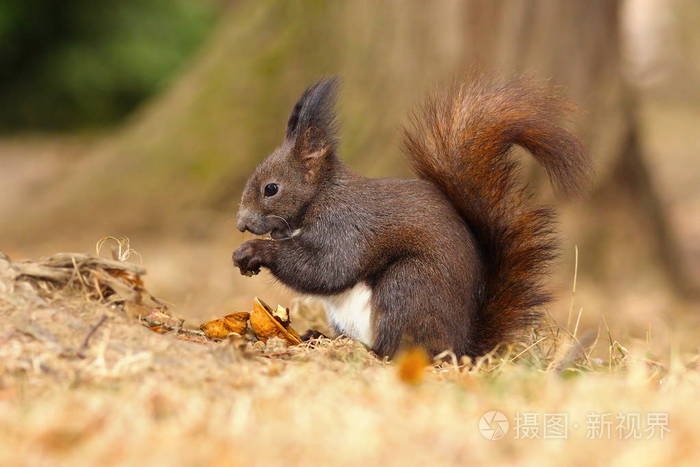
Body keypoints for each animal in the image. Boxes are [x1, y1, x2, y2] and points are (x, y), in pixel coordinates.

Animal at [234, 77, 592, 360]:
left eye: (271, 188)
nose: (241, 223)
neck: (320, 197)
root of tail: (461, 346)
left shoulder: (346, 225)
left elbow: (328, 268)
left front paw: (255, 251)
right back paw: (318, 337)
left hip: (407, 288)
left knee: (399, 347)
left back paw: (368, 351)